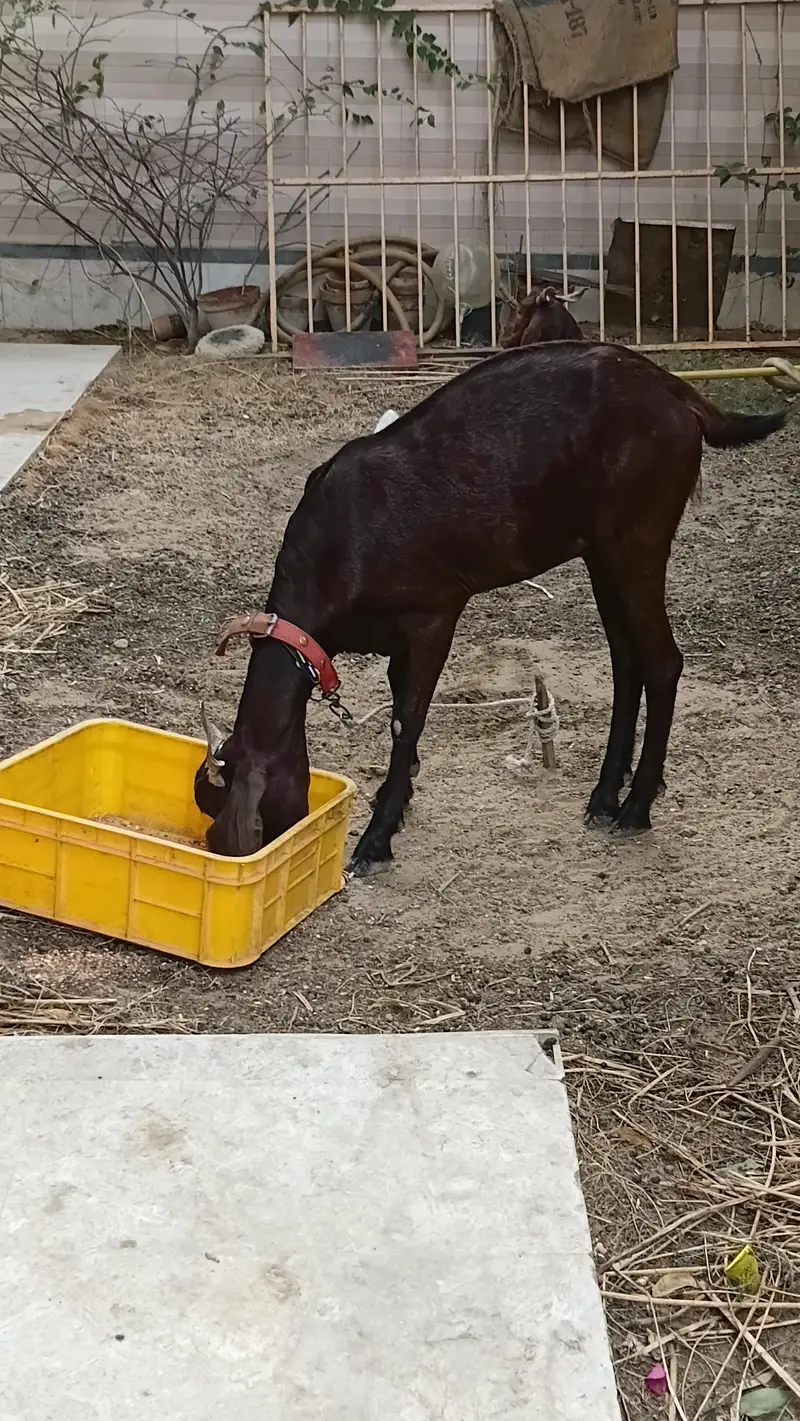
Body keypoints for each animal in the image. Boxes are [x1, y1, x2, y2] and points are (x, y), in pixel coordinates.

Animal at [195, 342, 786, 873]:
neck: (340, 547)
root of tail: (681, 394)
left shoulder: (434, 614)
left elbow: (406, 718)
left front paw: (376, 839)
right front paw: (402, 799)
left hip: (639, 535)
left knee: (662, 661)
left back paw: (635, 807)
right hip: (601, 549)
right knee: (627, 660)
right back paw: (604, 796)